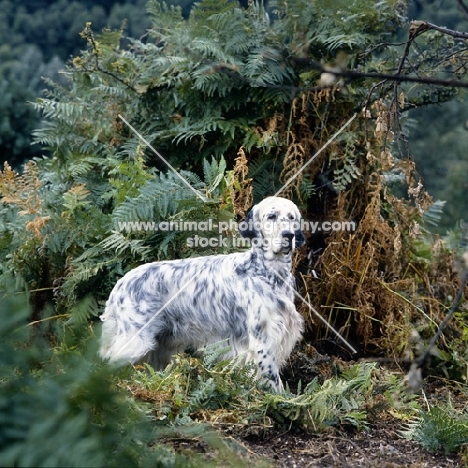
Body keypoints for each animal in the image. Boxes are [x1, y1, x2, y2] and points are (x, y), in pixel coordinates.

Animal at [98, 196, 306, 390]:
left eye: (291, 217)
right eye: (271, 216)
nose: (288, 235)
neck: (268, 272)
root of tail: (121, 283)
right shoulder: (262, 341)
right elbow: (274, 382)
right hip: (134, 341)